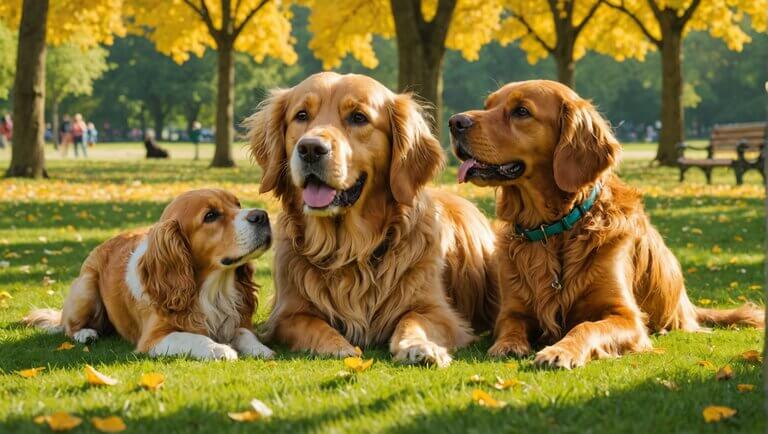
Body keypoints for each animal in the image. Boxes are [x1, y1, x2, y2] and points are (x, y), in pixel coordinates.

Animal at [450, 79, 760, 368]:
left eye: (521, 111)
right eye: (488, 105)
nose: (455, 122)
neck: (553, 229)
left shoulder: (626, 315)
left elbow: (585, 327)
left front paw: (560, 351)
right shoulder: (512, 309)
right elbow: (510, 324)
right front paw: (508, 344)